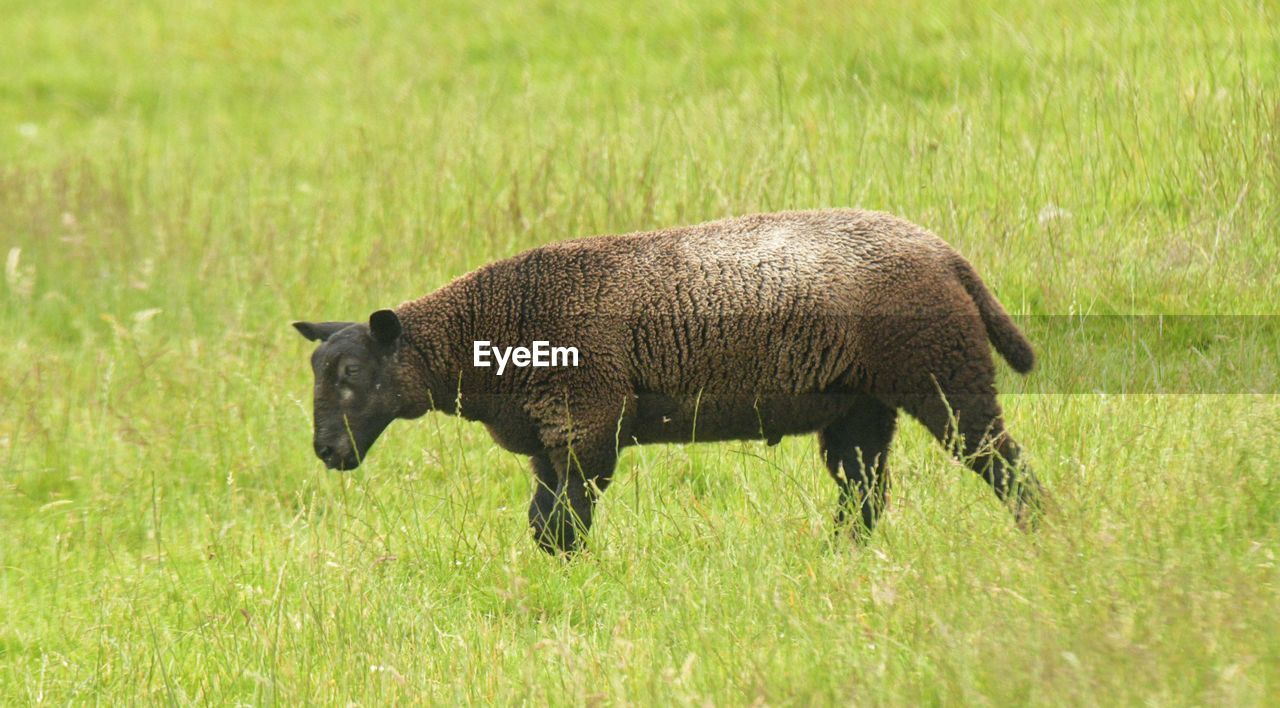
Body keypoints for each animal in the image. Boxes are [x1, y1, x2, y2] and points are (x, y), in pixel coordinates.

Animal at [294, 209, 1044, 553]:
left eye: (352, 374)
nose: (326, 452)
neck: (485, 332)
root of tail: (945, 255)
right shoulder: (548, 439)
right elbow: (544, 524)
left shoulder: (586, 423)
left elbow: (568, 521)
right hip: (860, 406)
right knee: (864, 491)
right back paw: (839, 557)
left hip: (942, 373)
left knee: (1004, 466)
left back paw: (1043, 536)